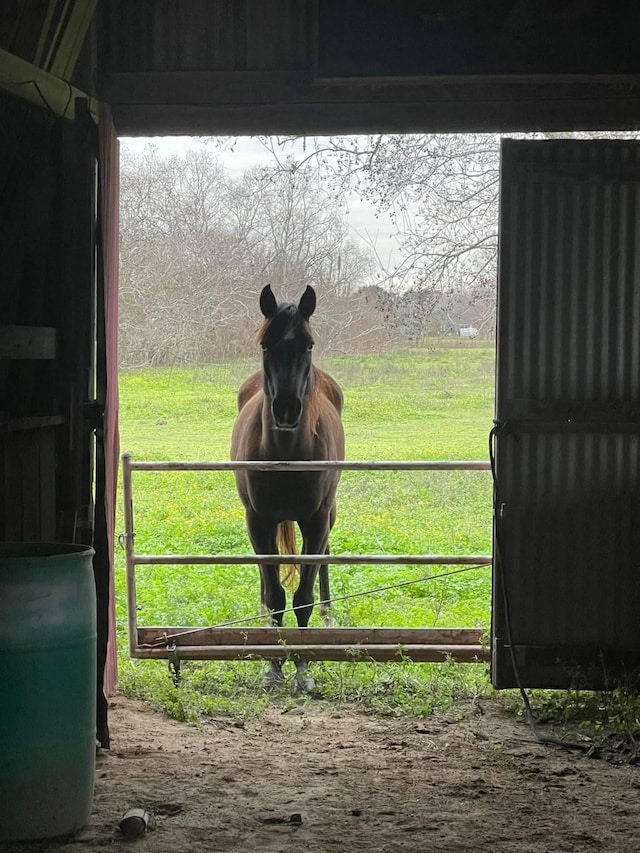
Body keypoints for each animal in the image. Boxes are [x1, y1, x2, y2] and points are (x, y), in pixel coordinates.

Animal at [231, 282, 344, 688]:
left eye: (308, 344)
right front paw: (273, 666)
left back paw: (329, 613)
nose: (286, 409)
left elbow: (303, 597)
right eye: (267, 345)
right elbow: (278, 593)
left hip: (328, 515)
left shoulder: (316, 520)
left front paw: (303, 667)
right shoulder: (259, 521)